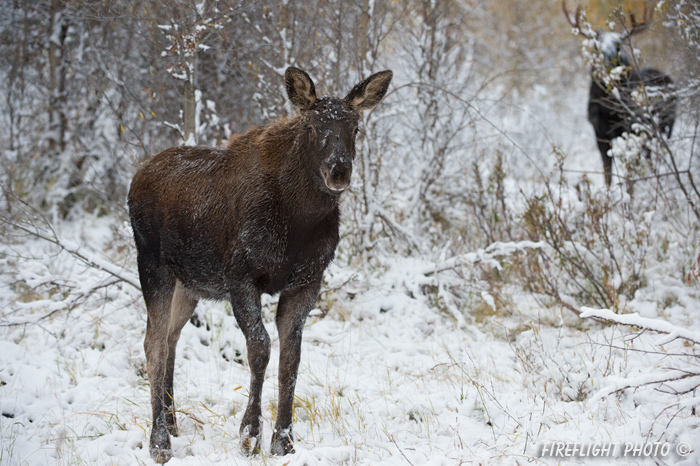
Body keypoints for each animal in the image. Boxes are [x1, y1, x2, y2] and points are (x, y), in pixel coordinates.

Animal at [130, 65, 394, 462]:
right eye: (312, 127)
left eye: (356, 128)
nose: (339, 171)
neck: (298, 220)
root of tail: (135, 177)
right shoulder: (241, 277)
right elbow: (260, 349)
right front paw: (250, 435)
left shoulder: (306, 282)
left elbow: (291, 359)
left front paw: (284, 440)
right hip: (152, 265)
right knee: (153, 342)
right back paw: (159, 440)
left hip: (188, 283)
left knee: (172, 337)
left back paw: (174, 423)